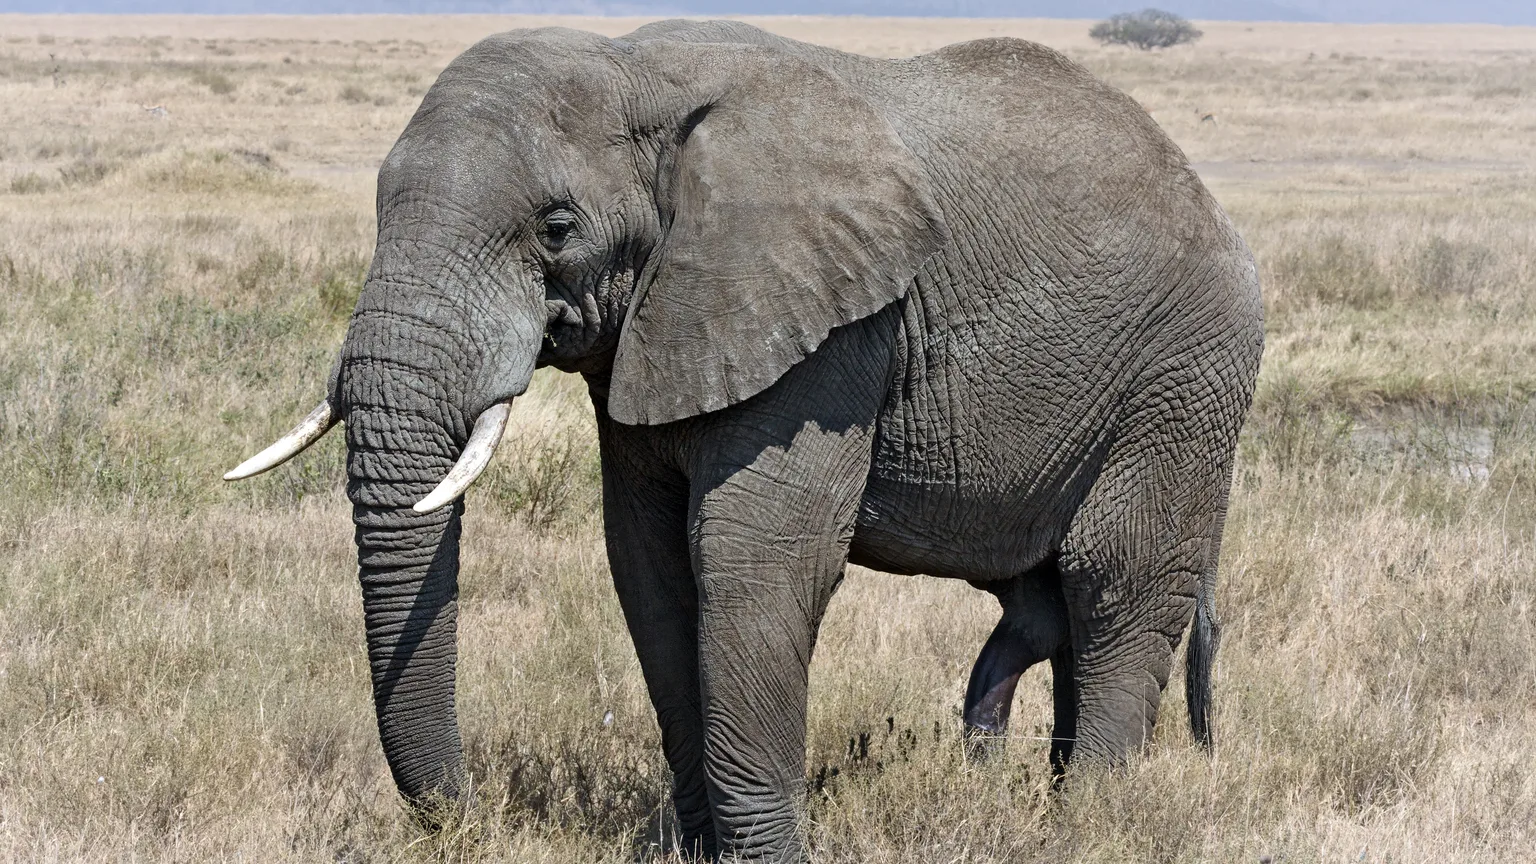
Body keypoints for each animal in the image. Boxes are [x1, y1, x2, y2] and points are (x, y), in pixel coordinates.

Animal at [226, 20, 1263, 862]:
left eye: (555, 229)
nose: (468, 819)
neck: (634, 69)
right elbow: (649, 565)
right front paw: (693, 850)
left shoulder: (833, 329)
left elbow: (752, 560)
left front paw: (764, 855)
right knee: (1049, 603)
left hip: (1183, 379)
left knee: (1113, 585)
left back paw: (1085, 825)